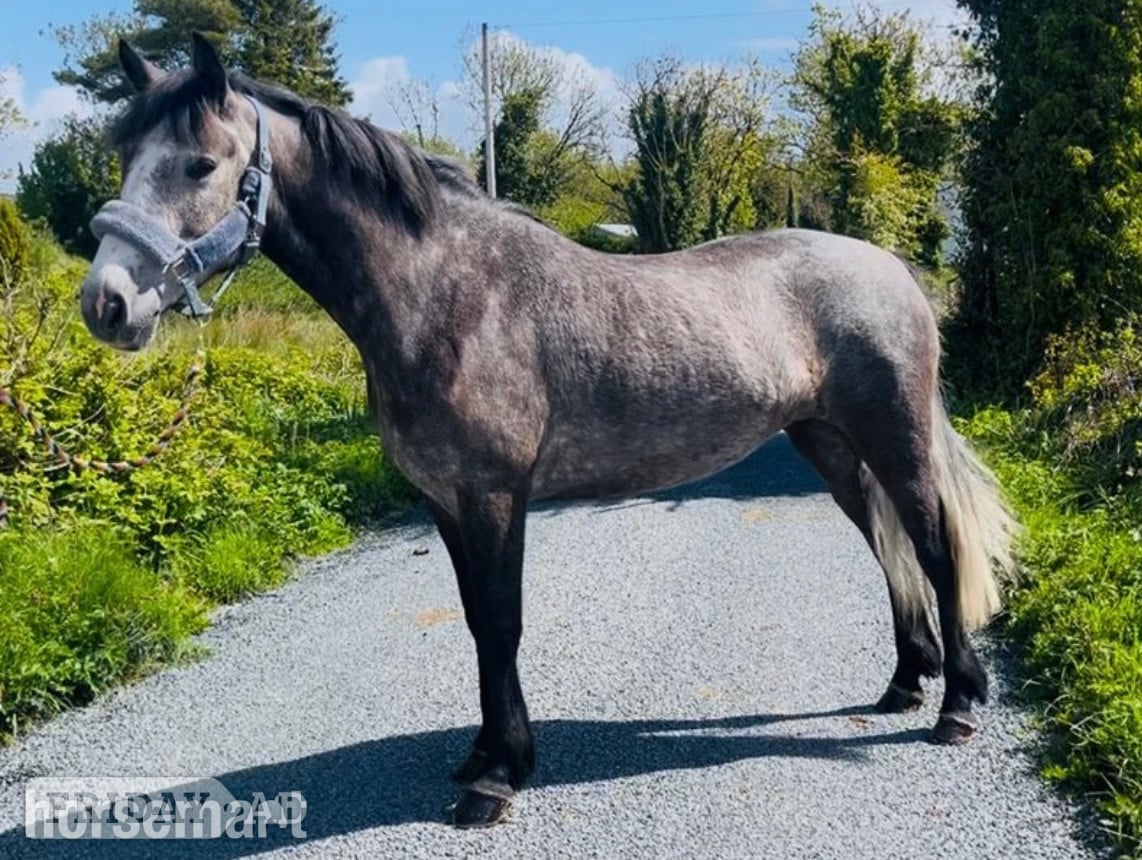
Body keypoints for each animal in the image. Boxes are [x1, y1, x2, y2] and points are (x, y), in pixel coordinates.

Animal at [78, 34, 1017, 828]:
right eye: (125, 157)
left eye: (202, 162)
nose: (106, 304)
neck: (446, 294)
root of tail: (891, 268)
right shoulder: (448, 502)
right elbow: (473, 621)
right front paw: (483, 755)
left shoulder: (495, 495)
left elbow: (502, 623)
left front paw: (497, 779)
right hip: (829, 444)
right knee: (888, 547)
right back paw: (905, 682)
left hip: (893, 435)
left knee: (934, 547)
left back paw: (957, 705)